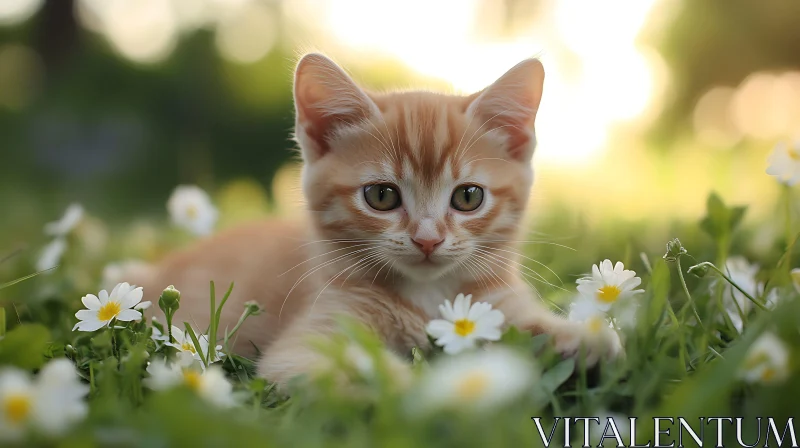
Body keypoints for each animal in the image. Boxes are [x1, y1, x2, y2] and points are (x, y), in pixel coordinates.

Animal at [139, 53, 620, 388]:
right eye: (382, 196)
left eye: (468, 197)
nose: (427, 239)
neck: (428, 298)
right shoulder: (306, 341)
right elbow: (348, 369)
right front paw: (413, 388)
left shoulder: (501, 303)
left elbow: (539, 325)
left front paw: (587, 339)